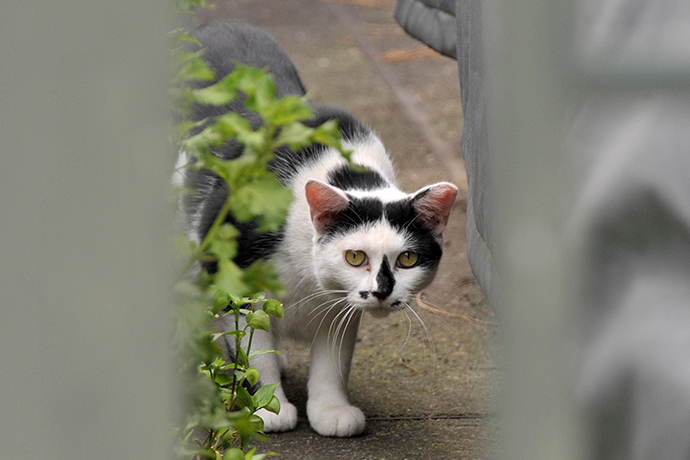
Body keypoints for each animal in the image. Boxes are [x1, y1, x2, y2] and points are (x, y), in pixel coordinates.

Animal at [176, 22, 456, 438]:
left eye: (408, 259)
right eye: (355, 256)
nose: (381, 292)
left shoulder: (342, 304)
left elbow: (333, 360)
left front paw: (331, 410)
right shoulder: (234, 276)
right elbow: (253, 347)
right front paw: (266, 409)